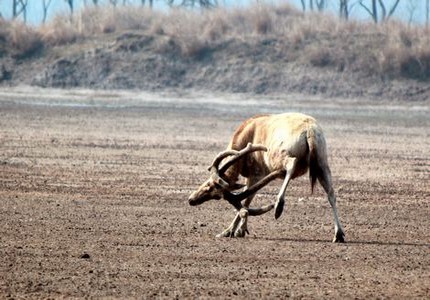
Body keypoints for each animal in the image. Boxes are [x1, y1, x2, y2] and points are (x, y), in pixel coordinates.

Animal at [188, 113, 346, 244]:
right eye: (216, 196)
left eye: (209, 185)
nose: (191, 199)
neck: (245, 135)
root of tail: (310, 132)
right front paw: (236, 230)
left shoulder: (256, 173)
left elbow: (247, 200)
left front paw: (231, 231)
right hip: (322, 162)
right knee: (331, 193)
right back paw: (339, 234)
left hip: (280, 155)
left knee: (291, 164)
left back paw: (278, 205)